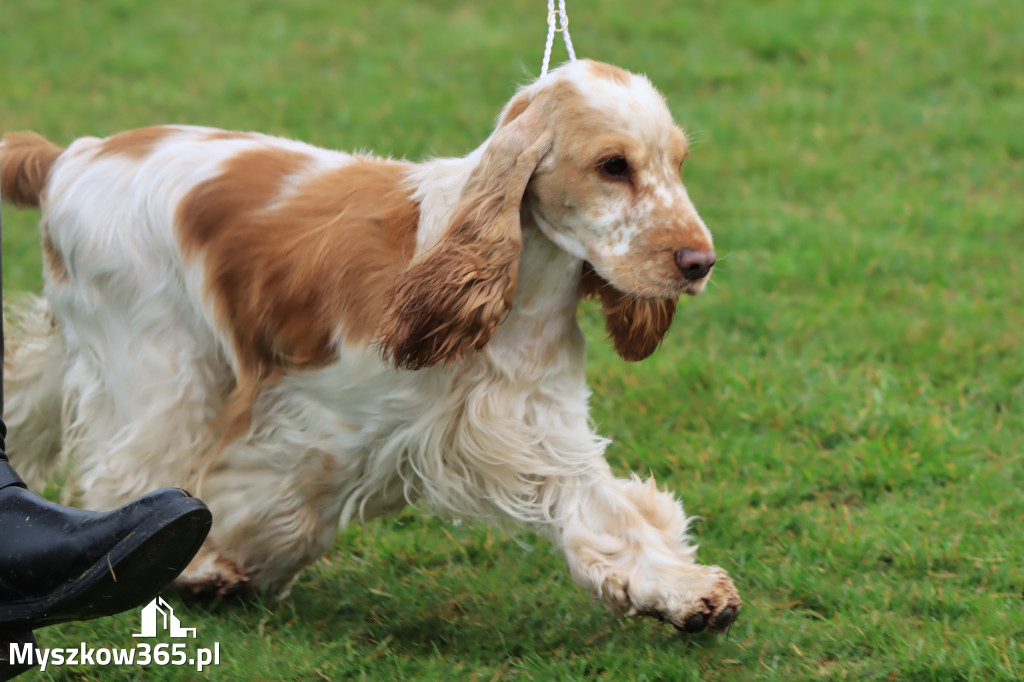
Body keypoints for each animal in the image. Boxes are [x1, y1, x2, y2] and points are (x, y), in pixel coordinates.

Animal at [0, 59, 737, 630]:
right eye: (613, 166)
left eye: (677, 164)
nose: (700, 262)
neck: (520, 287)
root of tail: (70, 156)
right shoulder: (323, 421)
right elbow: (271, 498)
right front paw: (220, 566)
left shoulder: (536, 424)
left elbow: (607, 512)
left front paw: (687, 593)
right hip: (161, 361)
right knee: (131, 471)